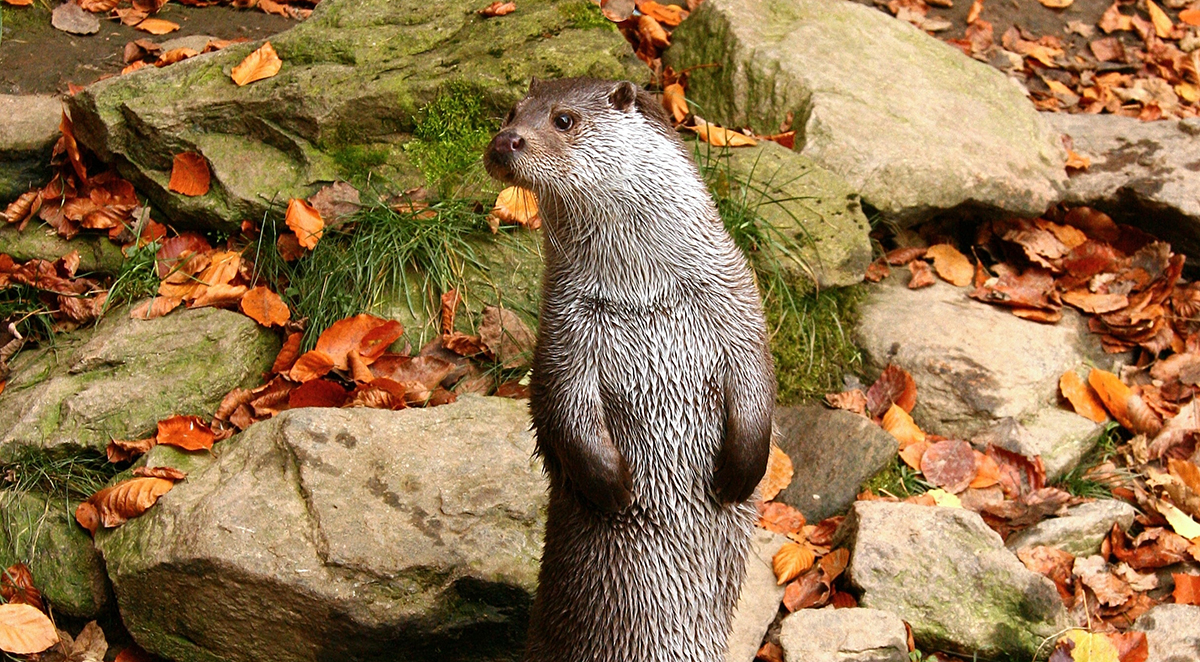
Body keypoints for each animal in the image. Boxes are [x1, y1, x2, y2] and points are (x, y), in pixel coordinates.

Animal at [484, 77, 775, 662]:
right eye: (509, 113)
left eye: (564, 119)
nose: (505, 141)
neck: (644, 292)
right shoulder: (564, 333)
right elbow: (561, 410)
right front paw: (616, 489)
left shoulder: (739, 303)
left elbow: (759, 383)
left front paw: (740, 471)